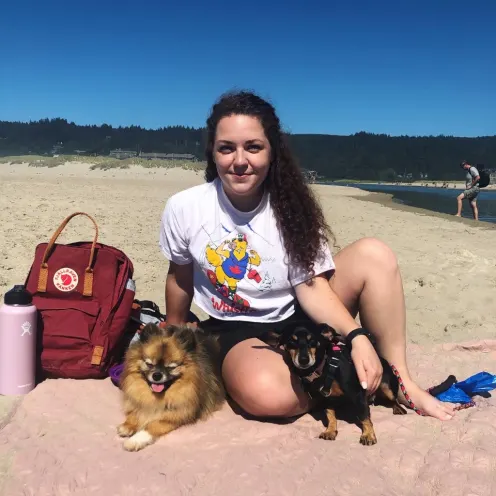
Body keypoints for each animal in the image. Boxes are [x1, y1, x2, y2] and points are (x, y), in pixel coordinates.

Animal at [116, 324, 225, 452]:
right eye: (149, 364)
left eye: (171, 367)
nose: (157, 375)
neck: (157, 396)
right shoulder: (138, 402)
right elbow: (135, 413)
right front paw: (128, 425)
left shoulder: (176, 416)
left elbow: (153, 425)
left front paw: (135, 440)